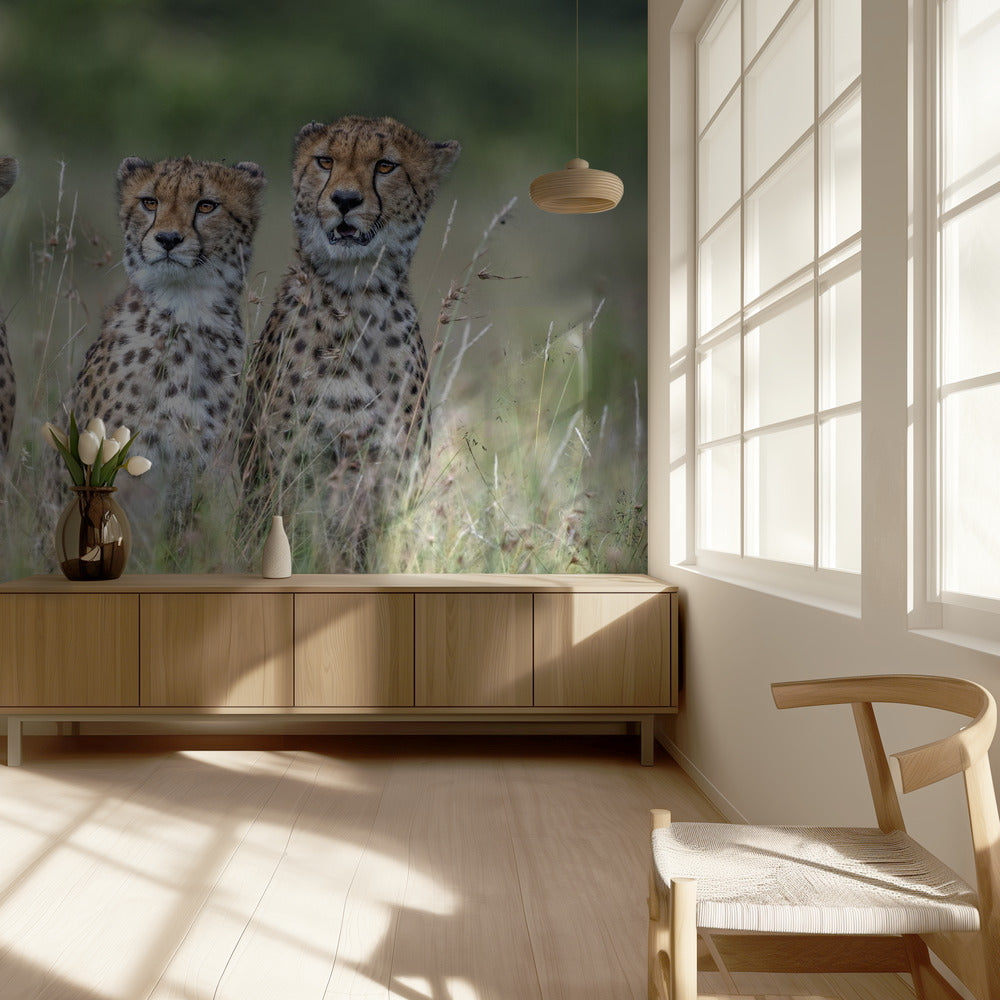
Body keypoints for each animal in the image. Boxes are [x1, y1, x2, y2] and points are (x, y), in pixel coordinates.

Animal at [241, 115, 459, 570]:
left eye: (386, 166)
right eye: (325, 161)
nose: (344, 199)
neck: (354, 295)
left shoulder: (390, 476)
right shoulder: (291, 473)